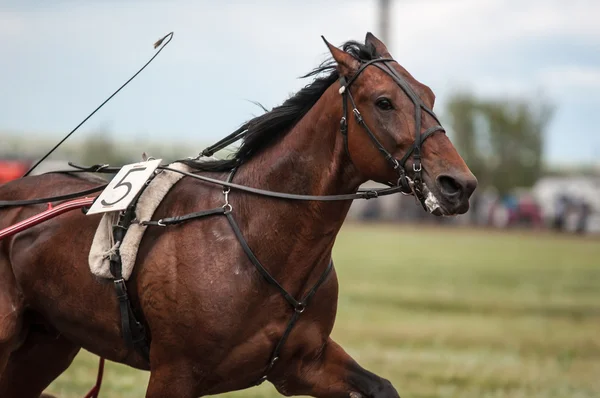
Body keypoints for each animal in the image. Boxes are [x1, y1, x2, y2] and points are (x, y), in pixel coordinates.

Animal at [1, 34, 478, 398]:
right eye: (383, 102)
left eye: (430, 96)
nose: (459, 184)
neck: (256, 234)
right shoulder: (175, 372)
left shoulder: (302, 364)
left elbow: (381, 387)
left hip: (47, 343)